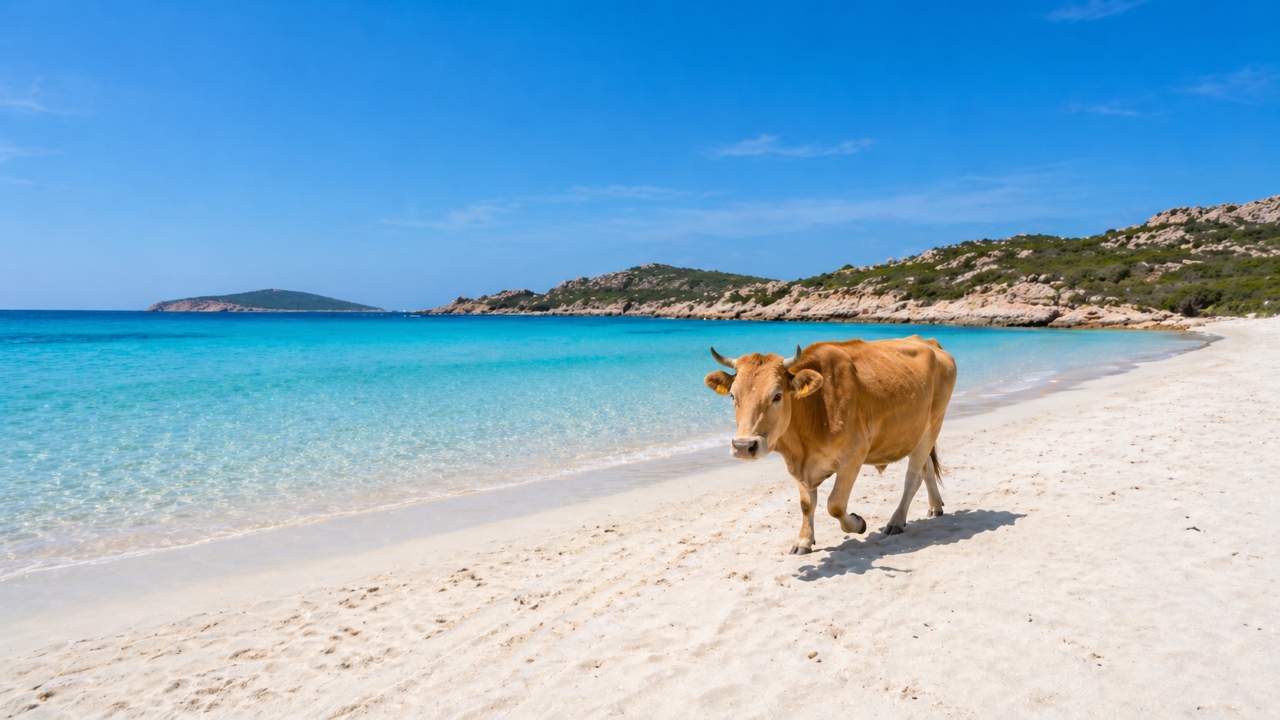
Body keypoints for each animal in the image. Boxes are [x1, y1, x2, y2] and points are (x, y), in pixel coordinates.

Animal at [703, 336, 957, 555]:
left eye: (776, 396)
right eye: (733, 396)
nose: (743, 445)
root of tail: (927, 341)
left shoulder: (853, 456)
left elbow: (835, 504)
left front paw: (858, 523)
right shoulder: (797, 465)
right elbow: (806, 504)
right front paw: (804, 541)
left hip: (934, 423)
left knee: (912, 477)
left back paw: (896, 521)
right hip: (918, 433)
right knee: (926, 468)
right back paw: (935, 506)